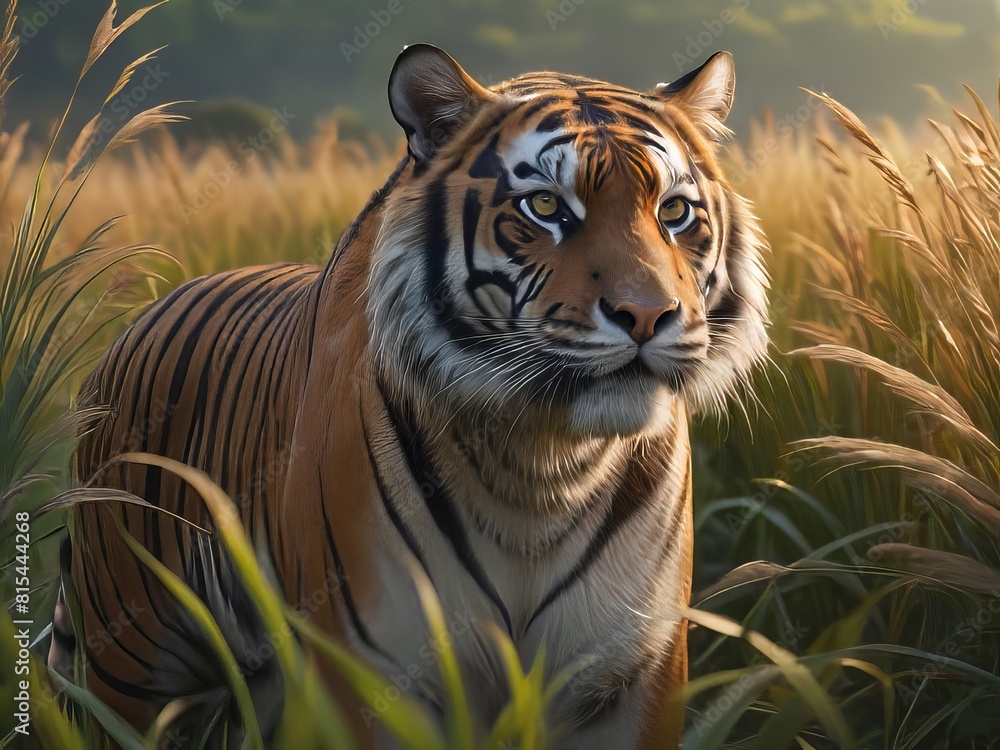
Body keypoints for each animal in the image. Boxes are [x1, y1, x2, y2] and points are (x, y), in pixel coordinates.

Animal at [50, 44, 768, 748]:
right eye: (545, 208)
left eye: (673, 212)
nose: (647, 315)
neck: (543, 468)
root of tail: (144, 312)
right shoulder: (373, 671)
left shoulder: (631, 671)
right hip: (127, 653)